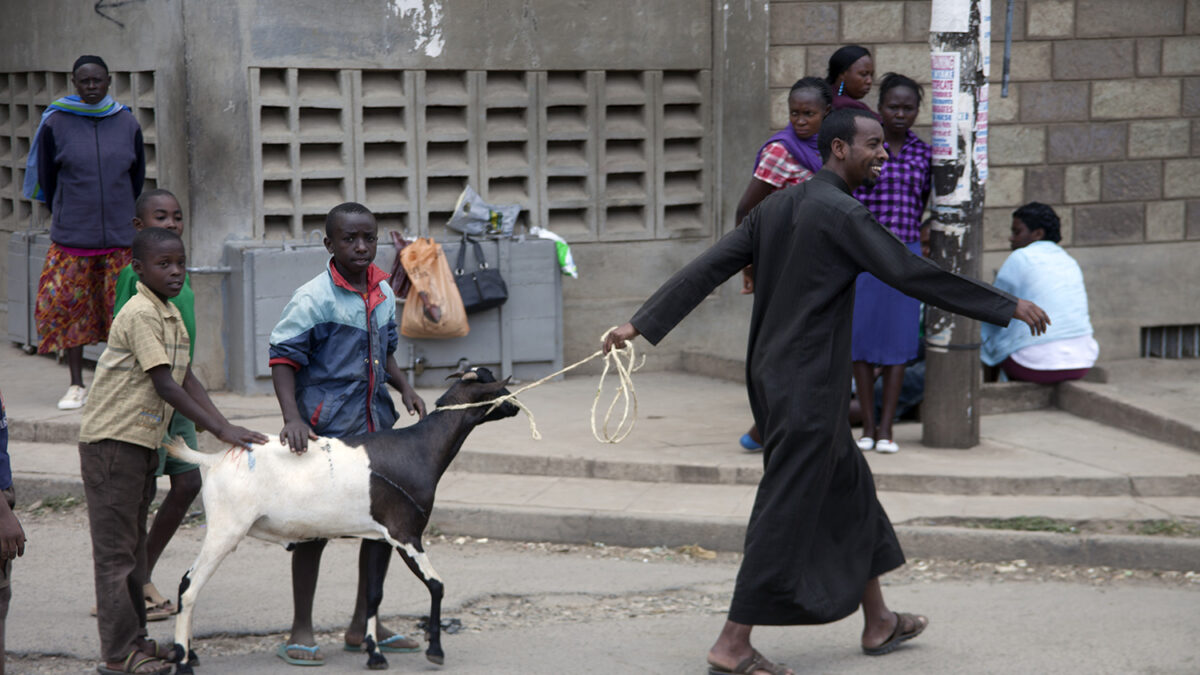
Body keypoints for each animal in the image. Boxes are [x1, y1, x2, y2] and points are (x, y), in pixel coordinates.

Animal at [165, 367, 520, 667]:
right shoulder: (406, 533)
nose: (516, 405)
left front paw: (375, 654)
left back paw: (191, 653)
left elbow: (374, 594)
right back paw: (183, 659)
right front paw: (435, 650)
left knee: (185, 582)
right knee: (190, 587)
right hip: (225, 529)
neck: (419, 448)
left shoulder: (380, 536)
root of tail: (213, 460)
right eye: (498, 388)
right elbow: (437, 585)